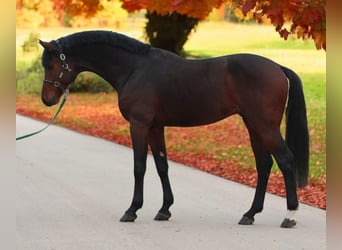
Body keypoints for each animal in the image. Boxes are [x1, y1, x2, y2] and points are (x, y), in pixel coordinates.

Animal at [38, 30, 308, 228]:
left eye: (50, 65)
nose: (47, 100)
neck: (134, 68)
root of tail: (278, 68)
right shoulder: (156, 127)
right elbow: (161, 166)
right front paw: (164, 209)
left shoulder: (139, 124)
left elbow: (139, 167)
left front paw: (132, 210)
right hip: (253, 125)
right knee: (264, 165)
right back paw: (250, 214)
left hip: (265, 126)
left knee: (286, 160)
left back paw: (290, 216)